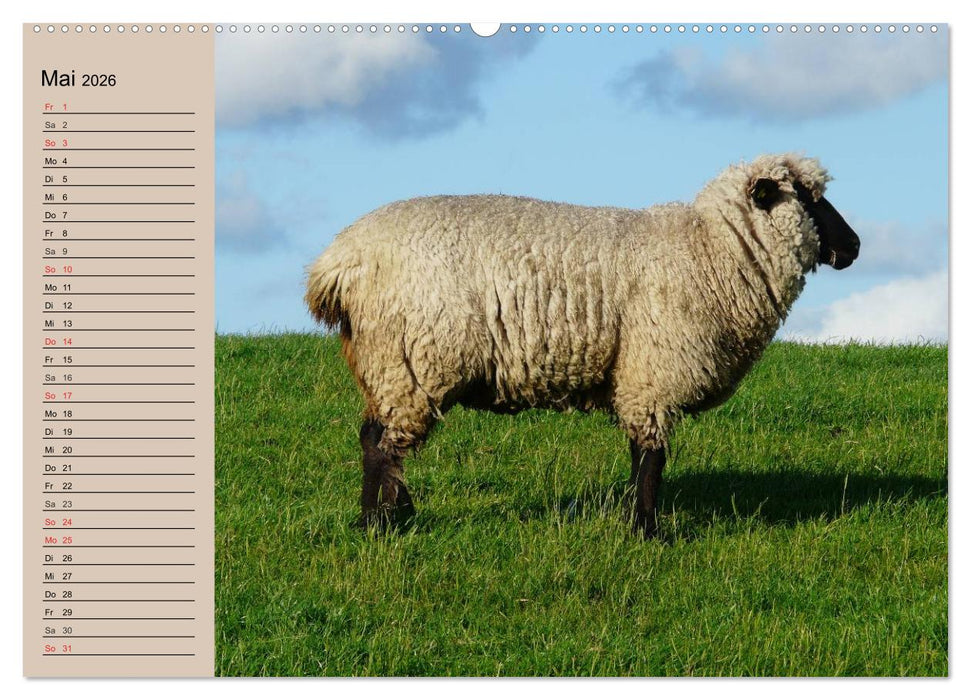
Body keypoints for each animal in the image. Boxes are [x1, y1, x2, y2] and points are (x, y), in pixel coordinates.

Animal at [305, 153, 860, 537]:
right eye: (805, 196)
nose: (853, 246)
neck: (712, 249)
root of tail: (338, 262)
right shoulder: (653, 371)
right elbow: (653, 457)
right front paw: (648, 532)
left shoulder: (637, 377)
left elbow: (640, 455)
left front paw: (638, 521)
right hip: (416, 358)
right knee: (382, 444)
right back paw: (382, 524)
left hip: (383, 363)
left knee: (372, 437)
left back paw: (382, 516)